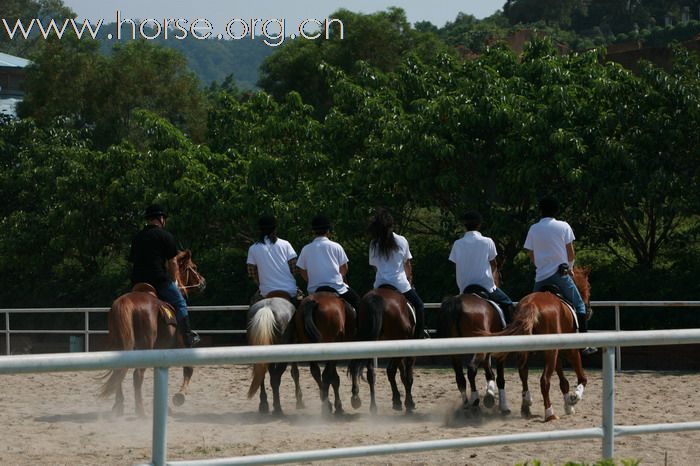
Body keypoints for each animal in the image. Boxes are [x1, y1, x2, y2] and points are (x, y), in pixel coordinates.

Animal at [100, 249, 206, 416]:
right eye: (194, 267)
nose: (203, 281)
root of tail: (126, 301)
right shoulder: (182, 346)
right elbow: (189, 369)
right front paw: (180, 396)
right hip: (145, 346)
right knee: (137, 375)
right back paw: (141, 411)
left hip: (121, 345)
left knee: (119, 370)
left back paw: (119, 407)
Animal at [348, 288, 416, 416]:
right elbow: (407, 375)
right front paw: (409, 403)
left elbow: (403, 374)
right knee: (390, 370)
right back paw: (396, 402)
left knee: (367, 372)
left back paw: (364, 403)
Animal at [440, 288, 512, 416]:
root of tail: (458, 302)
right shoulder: (499, 351)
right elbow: (499, 378)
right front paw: (503, 406)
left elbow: (489, 372)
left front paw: (490, 394)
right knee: (471, 369)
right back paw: (475, 401)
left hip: (455, 353)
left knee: (460, 378)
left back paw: (466, 405)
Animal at [498, 266, 592, 422]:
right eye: (588, 286)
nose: (589, 310)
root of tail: (531, 304)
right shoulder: (571, 351)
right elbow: (582, 378)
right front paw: (574, 398)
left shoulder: (557, 355)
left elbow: (563, 382)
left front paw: (568, 407)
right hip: (552, 352)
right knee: (544, 381)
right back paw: (550, 413)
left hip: (531, 351)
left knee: (523, 374)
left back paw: (526, 406)